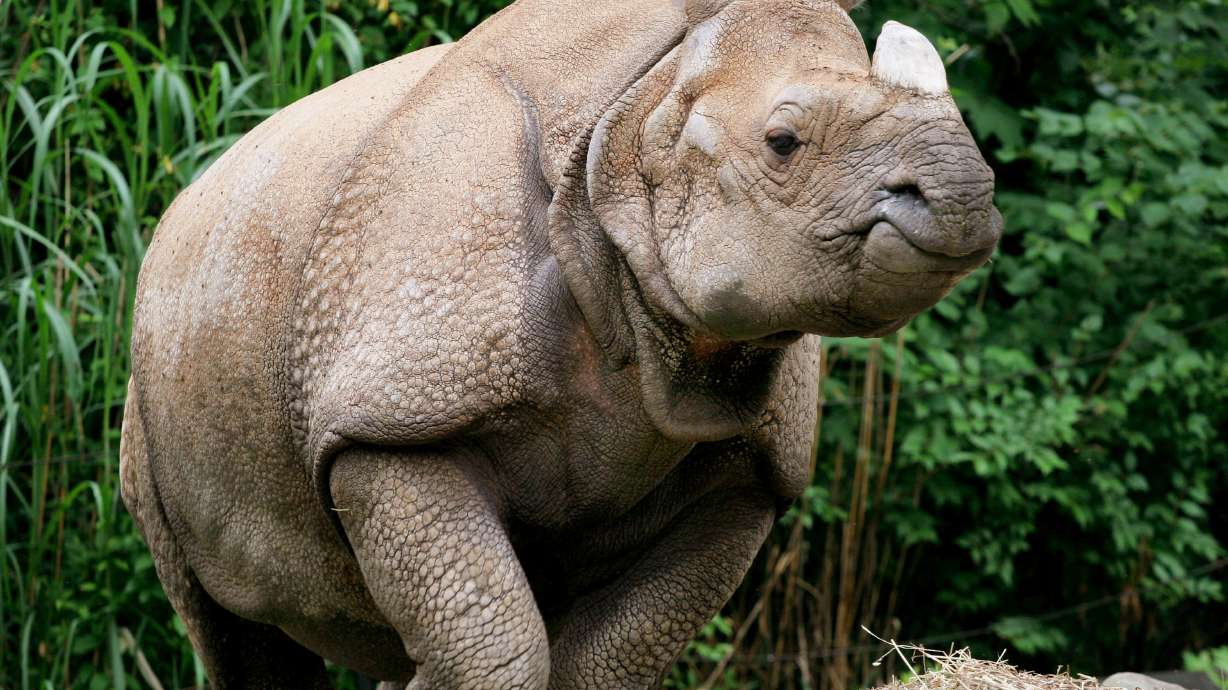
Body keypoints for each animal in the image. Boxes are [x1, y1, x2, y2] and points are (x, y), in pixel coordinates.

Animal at [119, 0, 1002, 687]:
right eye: (783, 142)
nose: (963, 191)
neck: (641, 125)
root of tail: (186, 203)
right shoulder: (394, 415)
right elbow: (493, 648)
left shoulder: (751, 467)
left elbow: (610, 657)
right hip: (155, 361)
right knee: (228, 626)